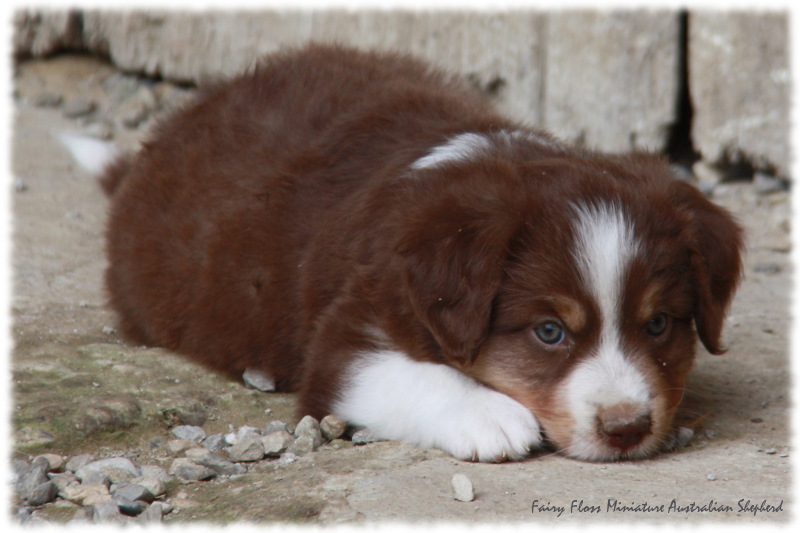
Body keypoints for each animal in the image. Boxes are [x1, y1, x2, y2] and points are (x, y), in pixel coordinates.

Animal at [62, 43, 744, 462]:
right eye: (549, 332)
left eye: (659, 324)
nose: (627, 428)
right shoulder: (343, 340)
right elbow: (410, 375)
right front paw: (489, 416)